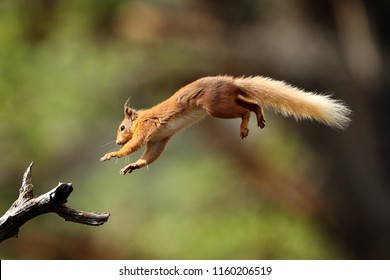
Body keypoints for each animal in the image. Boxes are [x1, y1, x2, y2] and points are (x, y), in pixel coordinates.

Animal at [100, 75, 350, 174]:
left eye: (122, 127)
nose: (117, 140)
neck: (142, 117)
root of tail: (231, 82)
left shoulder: (147, 128)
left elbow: (134, 146)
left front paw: (112, 155)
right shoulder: (159, 140)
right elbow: (149, 156)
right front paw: (133, 166)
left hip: (215, 106)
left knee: (244, 110)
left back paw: (245, 126)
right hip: (227, 100)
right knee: (253, 103)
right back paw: (258, 117)